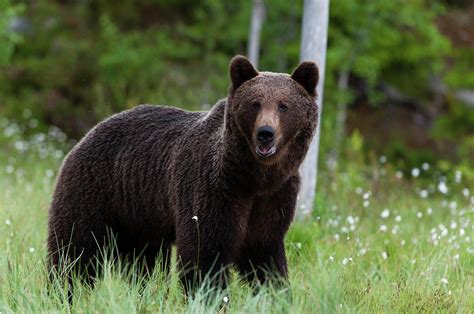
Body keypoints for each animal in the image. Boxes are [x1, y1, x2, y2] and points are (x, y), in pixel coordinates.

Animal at [47, 54, 318, 294]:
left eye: (284, 105)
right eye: (255, 103)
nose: (265, 133)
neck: (253, 177)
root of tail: (85, 136)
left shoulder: (275, 197)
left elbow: (264, 256)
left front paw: (276, 293)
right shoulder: (213, 189)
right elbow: (203, 252)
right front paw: (210, 297)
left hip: (139, 216)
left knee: (143, 262)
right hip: (94, 190)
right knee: (74, 249)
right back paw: (64, 291)